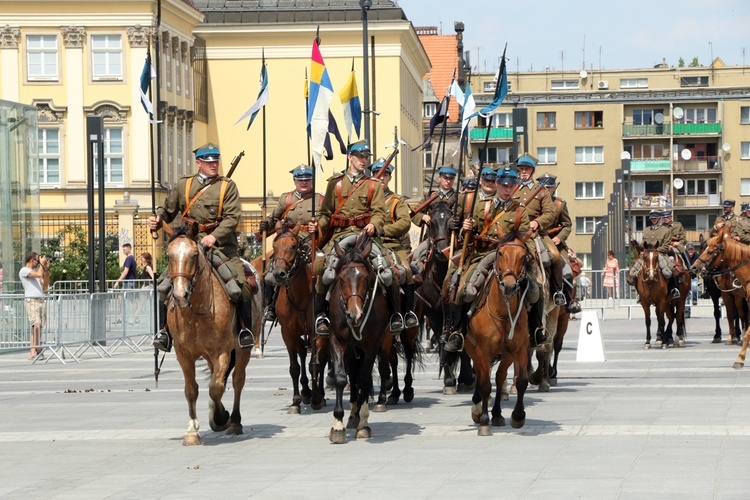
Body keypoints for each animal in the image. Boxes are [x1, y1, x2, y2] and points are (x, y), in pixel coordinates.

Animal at [164, 227, 258, 446]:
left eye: (194, 255)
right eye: (169, 255)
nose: (180, 295)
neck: (197, 311)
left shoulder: (222, 351)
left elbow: (216, 387)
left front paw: (221, 417)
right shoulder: (183, 354)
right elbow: (192, 389)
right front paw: (192, 431)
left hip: (243, 349)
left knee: (237, 380)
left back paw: (234, 422)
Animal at [272, 223, 328, 414]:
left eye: (293, 246)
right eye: (274, 246)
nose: (279, 274)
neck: (299, 296)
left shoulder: (316, 332)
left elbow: (315, 364)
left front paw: (317, 398)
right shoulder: (287, 333)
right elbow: (295, 367)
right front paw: (296, 401)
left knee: (322, 360)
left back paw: (319, 394)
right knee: (303, 354)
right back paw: (305, 391)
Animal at [328, 232, 390, 444]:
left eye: (365, 277)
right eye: (341, 278)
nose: (354, 315)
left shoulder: (372, 345)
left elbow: (364, 379)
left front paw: (364, 423)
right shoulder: (337, 340)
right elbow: (341, 378)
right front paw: (337, 424)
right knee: (352, 374)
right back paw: (352, 415)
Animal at [464, 232, 536, 436]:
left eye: (523, 256)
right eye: (501, 253)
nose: (509, 285)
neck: (503, 314)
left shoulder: (520, 348)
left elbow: (521, 381)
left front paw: (518, 416)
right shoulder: (482, 350)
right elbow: (485, 384)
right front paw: (483, 422)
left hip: (507, 355)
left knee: (499, 376)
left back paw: (496, 414)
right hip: (473, 350)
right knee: (482, 376)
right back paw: (479, 410)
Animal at [696, 227, 750, 368]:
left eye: (710, 251)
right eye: (702, 249)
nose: (694, 267)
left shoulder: (736, 295)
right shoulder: (723, 294)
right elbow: (728, 314)